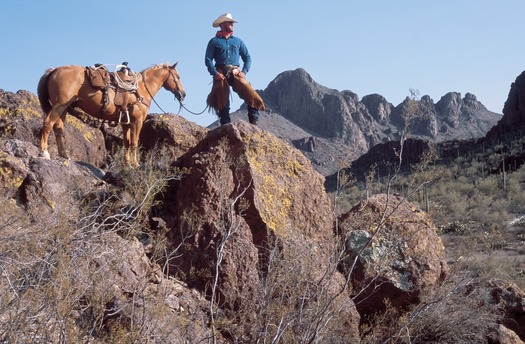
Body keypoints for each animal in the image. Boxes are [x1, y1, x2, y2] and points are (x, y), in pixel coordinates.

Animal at [36, 63, 184, 168]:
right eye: (177, 77)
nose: (183, 94)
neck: (141, 88)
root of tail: (54, 70)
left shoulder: (126, 123)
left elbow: (127, 143)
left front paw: (127, 163)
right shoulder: (137, 121)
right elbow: (134, 143)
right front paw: (135, 164)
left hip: (64, 108)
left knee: (58, 129)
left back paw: (64, 155)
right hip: (59, 106)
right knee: (47, 124)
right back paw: (44, 152)